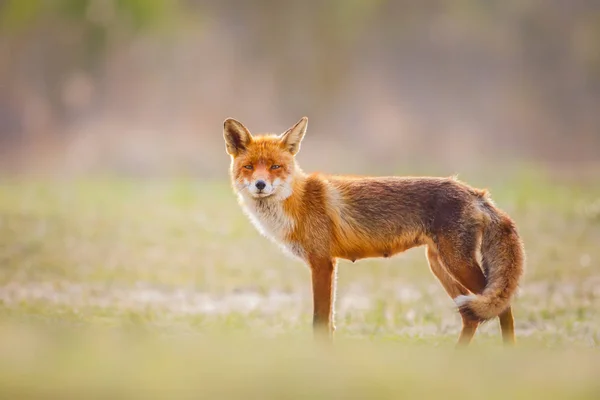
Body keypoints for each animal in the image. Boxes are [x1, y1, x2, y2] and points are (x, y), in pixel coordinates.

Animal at [223, 116, 524, 346]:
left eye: (276, 167)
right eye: (249, 167)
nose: (260, 184)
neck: (296, 204)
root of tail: (476, 193)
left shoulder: (322, 263)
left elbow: (320, 323)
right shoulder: (327, 265)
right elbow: (328, 324)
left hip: (458, 264)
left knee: (502, 305)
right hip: (439, 264)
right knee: (471, 316)